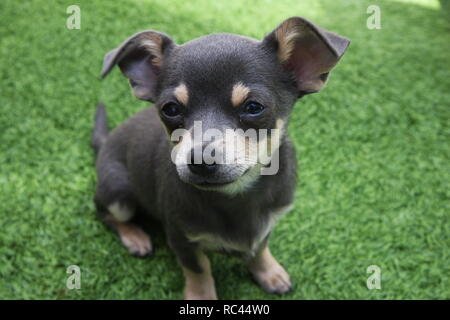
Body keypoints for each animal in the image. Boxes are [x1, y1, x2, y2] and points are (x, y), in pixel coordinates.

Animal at [93, 16, 350, 298]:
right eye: (170, 109)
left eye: (253, 107)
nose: (200, 160)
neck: (236, 195)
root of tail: (105, 143)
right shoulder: (181, 238)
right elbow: (199, 270)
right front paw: (201, 296)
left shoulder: (268, 223)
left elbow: (260, 248)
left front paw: (268, 272)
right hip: (118, 194)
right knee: (105, 213)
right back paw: (134, 236)